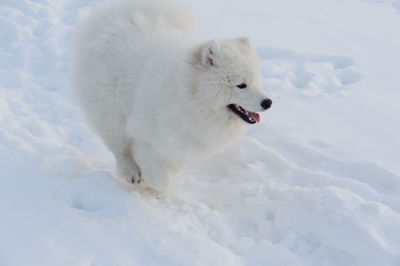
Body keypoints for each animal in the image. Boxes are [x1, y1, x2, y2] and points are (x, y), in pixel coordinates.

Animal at [72, 0, 272, 191]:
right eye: (241, 85)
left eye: (256, 81)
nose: (268, 102)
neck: (190, 97)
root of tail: (118, 17)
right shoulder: (146, 134)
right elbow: (159, 177)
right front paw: (148, 180)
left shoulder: (181, 146)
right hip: (111, 111)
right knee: (118, 146)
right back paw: (130, 172)